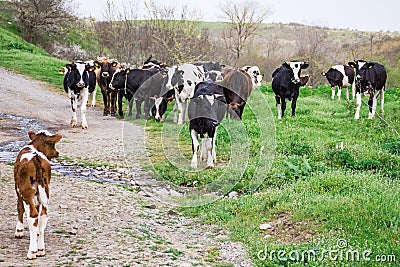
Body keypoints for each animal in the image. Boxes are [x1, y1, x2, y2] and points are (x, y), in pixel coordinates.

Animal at [13, 131, 62, 260]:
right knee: (43, 216)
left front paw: (19, 231)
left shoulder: (18, 190)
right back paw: (40, 249)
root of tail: (36, 158)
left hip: (26, 192)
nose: (57, 153)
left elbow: (19, 208)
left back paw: (32, 251)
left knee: (33, 216)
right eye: (53, 144)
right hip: (45, 191)